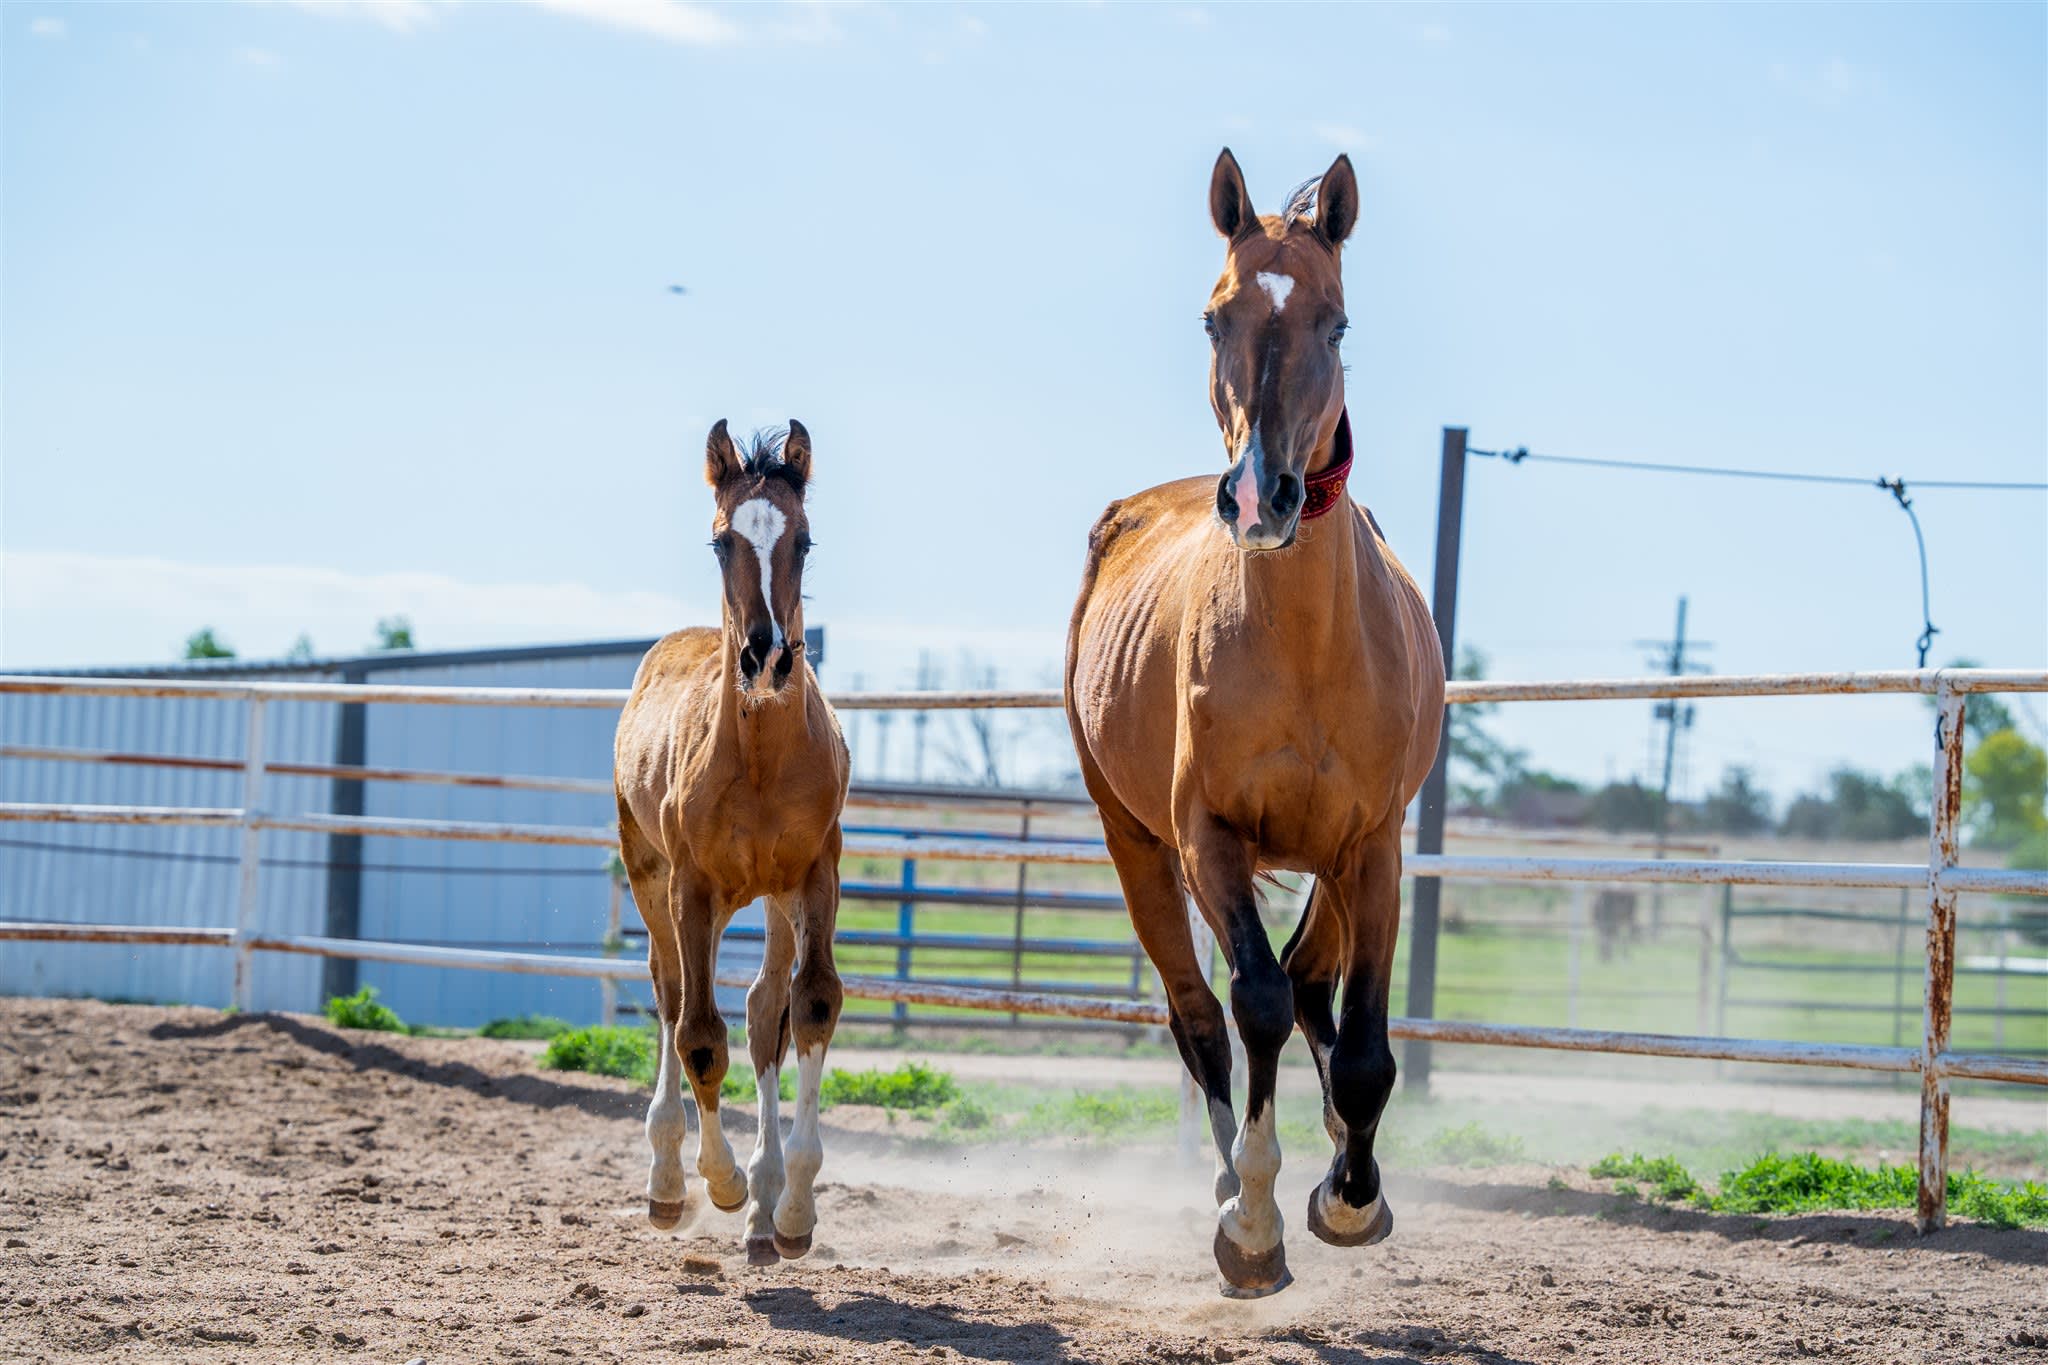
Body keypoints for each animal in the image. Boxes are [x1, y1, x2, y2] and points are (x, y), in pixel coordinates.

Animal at [613, 419, 850, 1266]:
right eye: (722, 541)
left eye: (804, 540)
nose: (767, 655)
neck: (759, 761)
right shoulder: (691, 884)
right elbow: (698, 1034)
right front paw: (718, 1183)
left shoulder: (817, 873)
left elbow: (809, 1005)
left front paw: (792, 1210)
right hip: (652, 877)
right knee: (671, 995)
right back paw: (667, 1180)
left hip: (769, 898)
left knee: (760, 1007)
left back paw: (763, 1205)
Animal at [1063, 149, 1444, 1297]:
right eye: (1211, 316)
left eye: (1337, 322)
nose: (1259, 498)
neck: (1305, 648)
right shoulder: (1210, 838)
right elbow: (1256, 1001)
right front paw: (1255, 1227)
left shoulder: (1373, 843)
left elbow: (1362, 1042)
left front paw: (1350, 1199)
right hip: (1138, 846)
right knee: (1203, 1016)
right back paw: (1235, 1182)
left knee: (1315, 986)